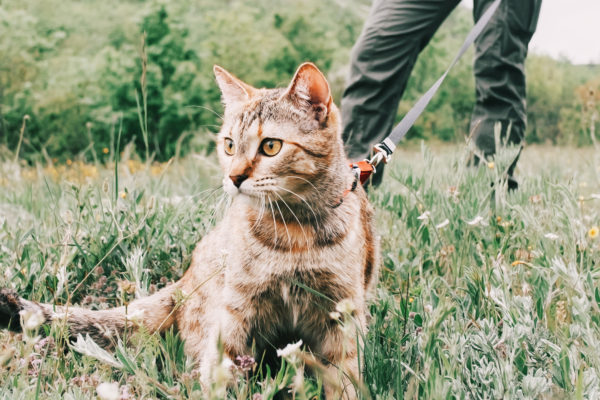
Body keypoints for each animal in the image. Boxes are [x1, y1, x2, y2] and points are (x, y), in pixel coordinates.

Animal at [1, 61, 380, 396]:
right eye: (229, 144)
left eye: (271, 146)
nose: (234, 177)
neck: (294, 231)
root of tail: (183, 283)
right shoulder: (235, 312)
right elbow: (221, 372)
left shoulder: (342, 315)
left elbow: (345, 377)